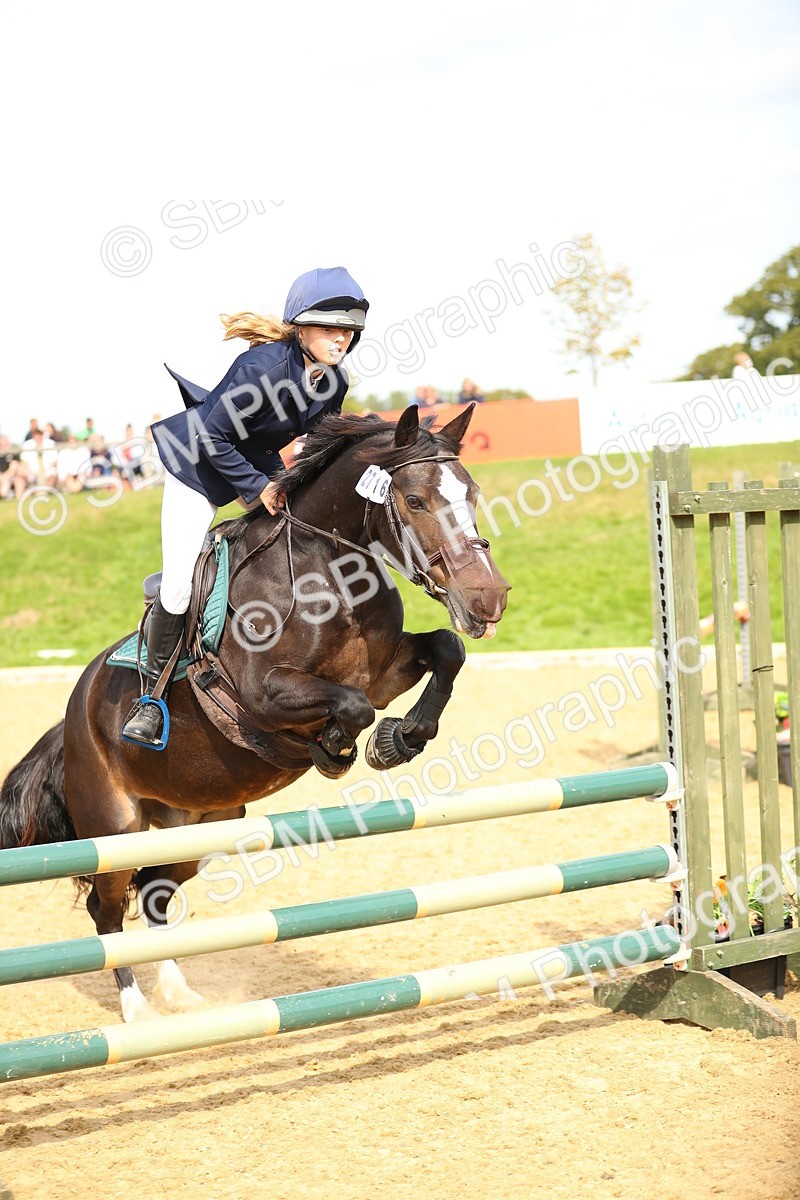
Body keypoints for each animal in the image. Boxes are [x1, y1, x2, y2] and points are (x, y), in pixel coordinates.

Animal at [0, 402, 509, 1021]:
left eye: (472, 492)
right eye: (413, 501)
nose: (488, 599)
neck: (329, 573)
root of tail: (73, 712)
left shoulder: (385, 675)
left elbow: (446, 651)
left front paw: (401, 739)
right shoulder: (265, 695)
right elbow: (351, 706)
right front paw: (336, 749)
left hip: (197, 826)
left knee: (156, 892)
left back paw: (178, 993)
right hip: (115, 827)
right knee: (108, 907)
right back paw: (137, 1012)